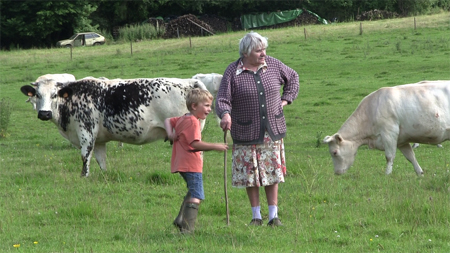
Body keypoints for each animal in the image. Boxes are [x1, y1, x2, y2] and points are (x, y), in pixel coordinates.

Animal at [21, 77, 207, 176]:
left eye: (54, 95)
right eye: (37, 95)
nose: (44, 113)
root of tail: (190, 82)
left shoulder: (86, 133)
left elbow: (85, 157)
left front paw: (84, 176)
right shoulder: (99, 141)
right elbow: (101, 160)